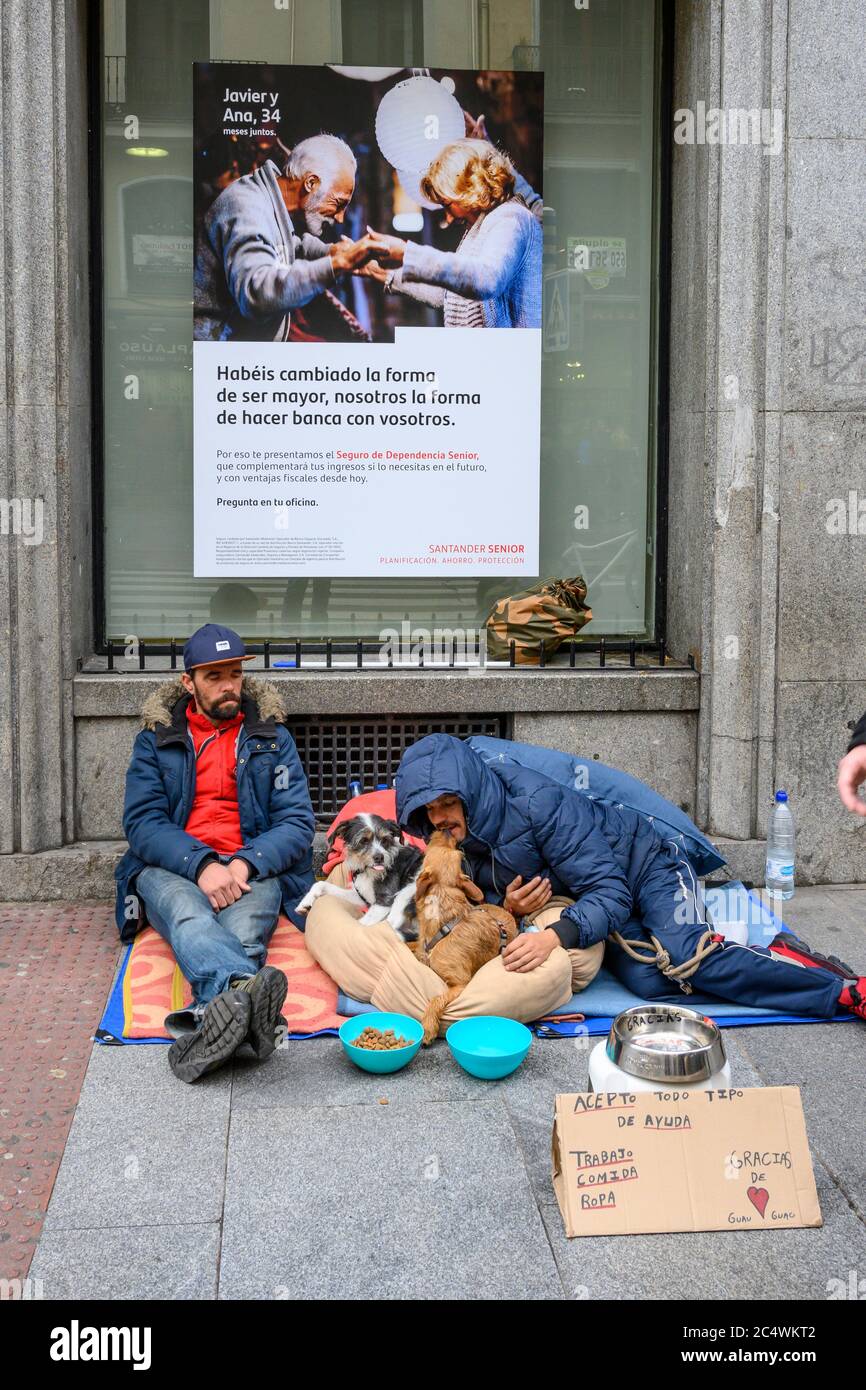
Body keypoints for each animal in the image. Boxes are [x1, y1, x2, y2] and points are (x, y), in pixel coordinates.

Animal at [294, 811, 422, 945]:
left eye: (385, 840)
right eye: (363, 841)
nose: (380, 858)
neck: (367, 871)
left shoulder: (384, 902)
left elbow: (361, 926)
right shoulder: (361, 897)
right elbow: (321, 884)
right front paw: (305, 903)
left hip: (407, 892)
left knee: (387, 925)